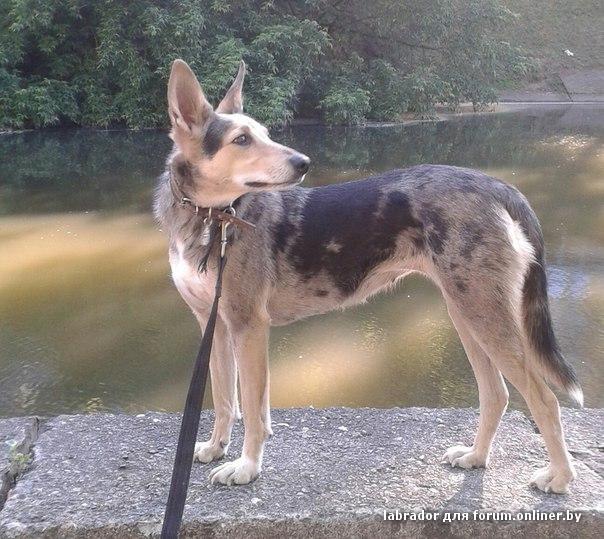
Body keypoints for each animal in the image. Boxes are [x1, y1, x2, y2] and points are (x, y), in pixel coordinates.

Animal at [154, 59, 582, 494]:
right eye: (241, 140)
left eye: (265, 134)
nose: (303, 163)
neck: (214, 218)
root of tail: (498, 186)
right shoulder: (215, 326)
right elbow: (226, 400)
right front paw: (216, 448)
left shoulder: (248, 326)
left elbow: (254, 412)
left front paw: (246, 467)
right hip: (468, 315)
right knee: (496, 395)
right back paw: (476, 457)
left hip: (484, 316)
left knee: (544, 400)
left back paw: (561, 477)